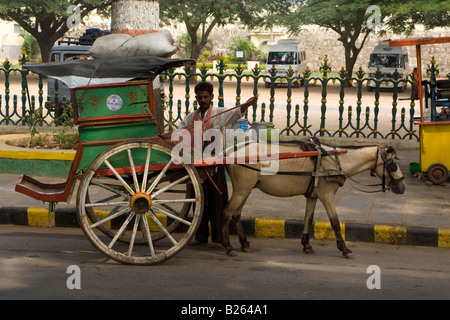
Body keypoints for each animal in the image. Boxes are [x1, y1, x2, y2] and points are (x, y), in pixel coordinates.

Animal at [221, 139, 404, 258]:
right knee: (226, 213)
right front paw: (344, 248)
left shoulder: (313, 196)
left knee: (236, 215)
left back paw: (244, 243)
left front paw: (306, 245)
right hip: (242, 190)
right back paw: (228, 246)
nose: (402, 186)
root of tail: (230, 151)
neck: (336, 160)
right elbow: (335, 222)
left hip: (246, 189)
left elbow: (308, 219)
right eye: (393, 166)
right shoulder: (327, 196)